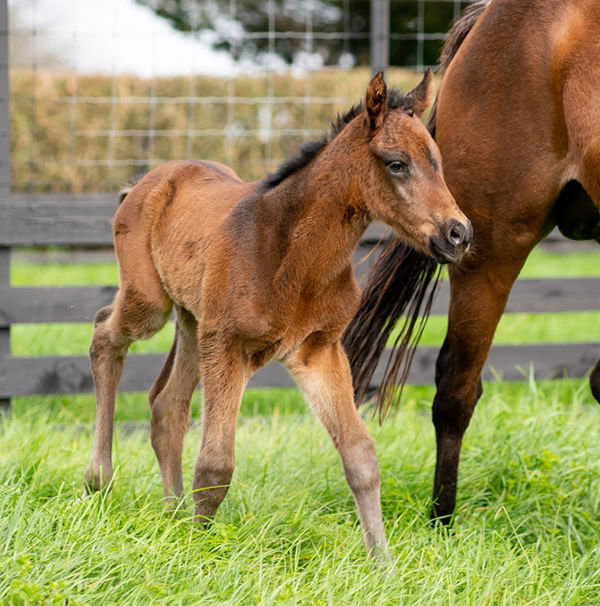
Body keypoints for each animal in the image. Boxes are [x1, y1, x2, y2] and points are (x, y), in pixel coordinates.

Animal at [84, 72, 472, 564]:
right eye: (397, 163)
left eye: (437, 161)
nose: (458, 233)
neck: (292, 255)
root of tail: (142, 183)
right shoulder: (228, 346)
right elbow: (216, 464)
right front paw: (197, 554)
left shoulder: (318, 350)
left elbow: (361, 455)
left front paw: (383, 564)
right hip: (151, 304)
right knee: (103, 333)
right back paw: (99, 481)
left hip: (193, 320)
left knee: (166, 406)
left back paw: (172, 515)